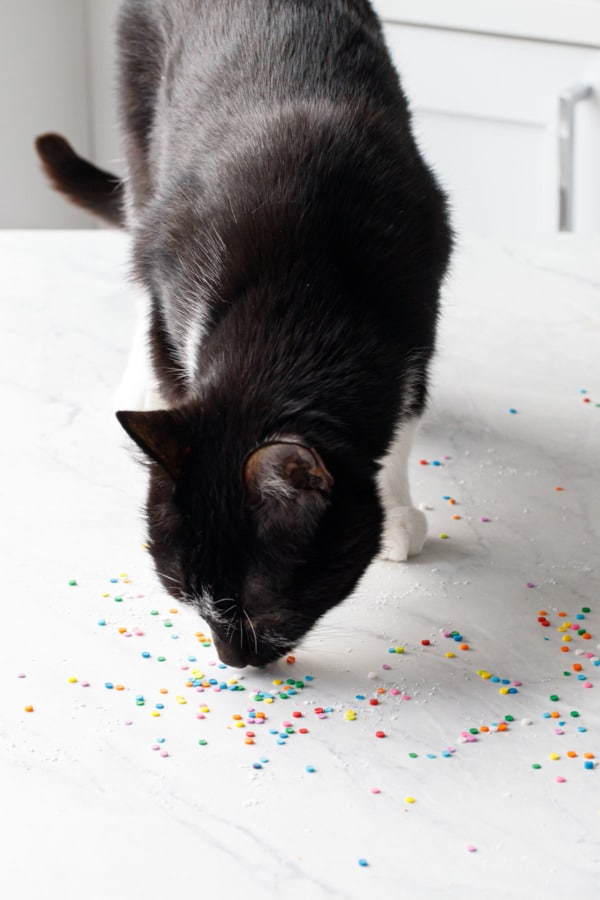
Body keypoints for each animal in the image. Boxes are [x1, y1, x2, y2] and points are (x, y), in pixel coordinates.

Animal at [36, 1, 450, 668]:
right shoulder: (173, 263)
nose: (231, 659)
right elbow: (167, 343)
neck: (300, 296)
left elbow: (407, 407)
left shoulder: (419, 289)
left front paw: (399, 507)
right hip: (138, 104)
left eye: (264, 604)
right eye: (184, 597)